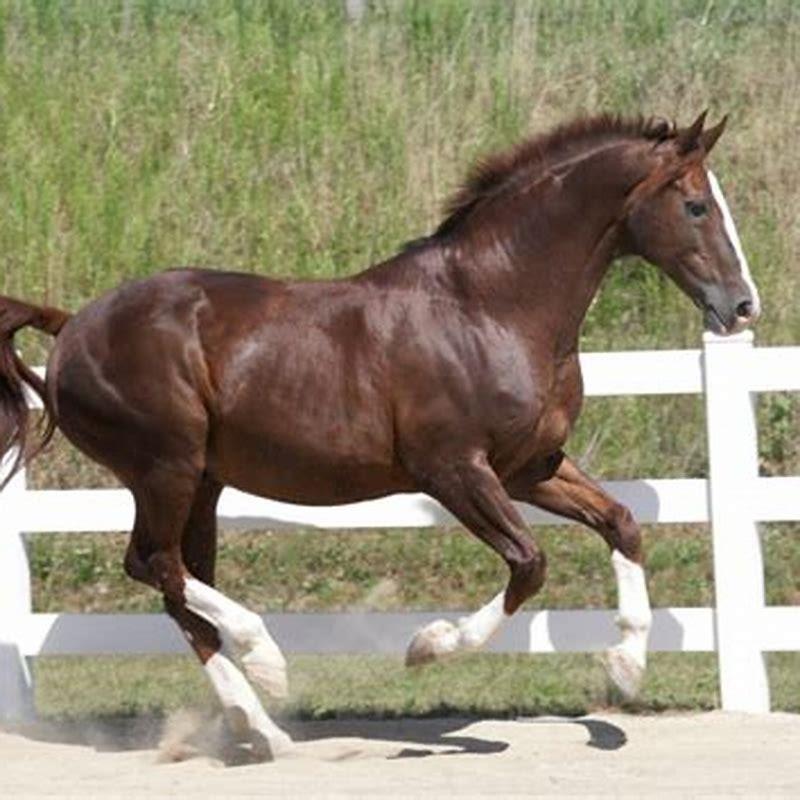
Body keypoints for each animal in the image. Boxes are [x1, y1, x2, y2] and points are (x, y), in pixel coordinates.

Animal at [0, 111, 759, 757]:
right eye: (697, 205)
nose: (743, 307)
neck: (491, 307)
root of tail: (72, 326)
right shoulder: (454, 470)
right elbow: (529, 563)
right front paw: (427, 646)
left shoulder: (531, 466)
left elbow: (622, 522)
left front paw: (625, 668)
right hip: (166, 466)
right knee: (153, 563)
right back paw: (268, 663)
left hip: (204, 483)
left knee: (179, 585)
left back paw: (261, 727)